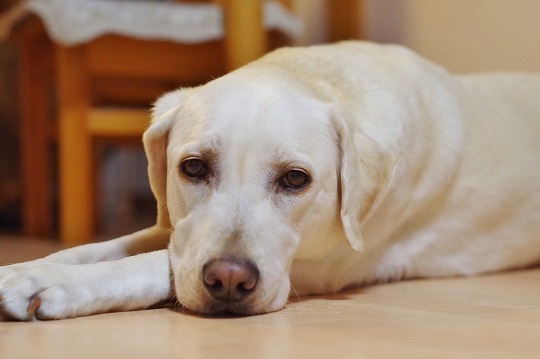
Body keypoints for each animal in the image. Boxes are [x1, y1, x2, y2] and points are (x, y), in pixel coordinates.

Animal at [1, 41, 540, 320]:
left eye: (296, 179)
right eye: (192, 167)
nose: (229, 280)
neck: (322, 77)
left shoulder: (322, 264)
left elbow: (152, 263)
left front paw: (53, 284)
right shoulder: (174, 226)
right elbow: (106, 247)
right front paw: (30, 267)